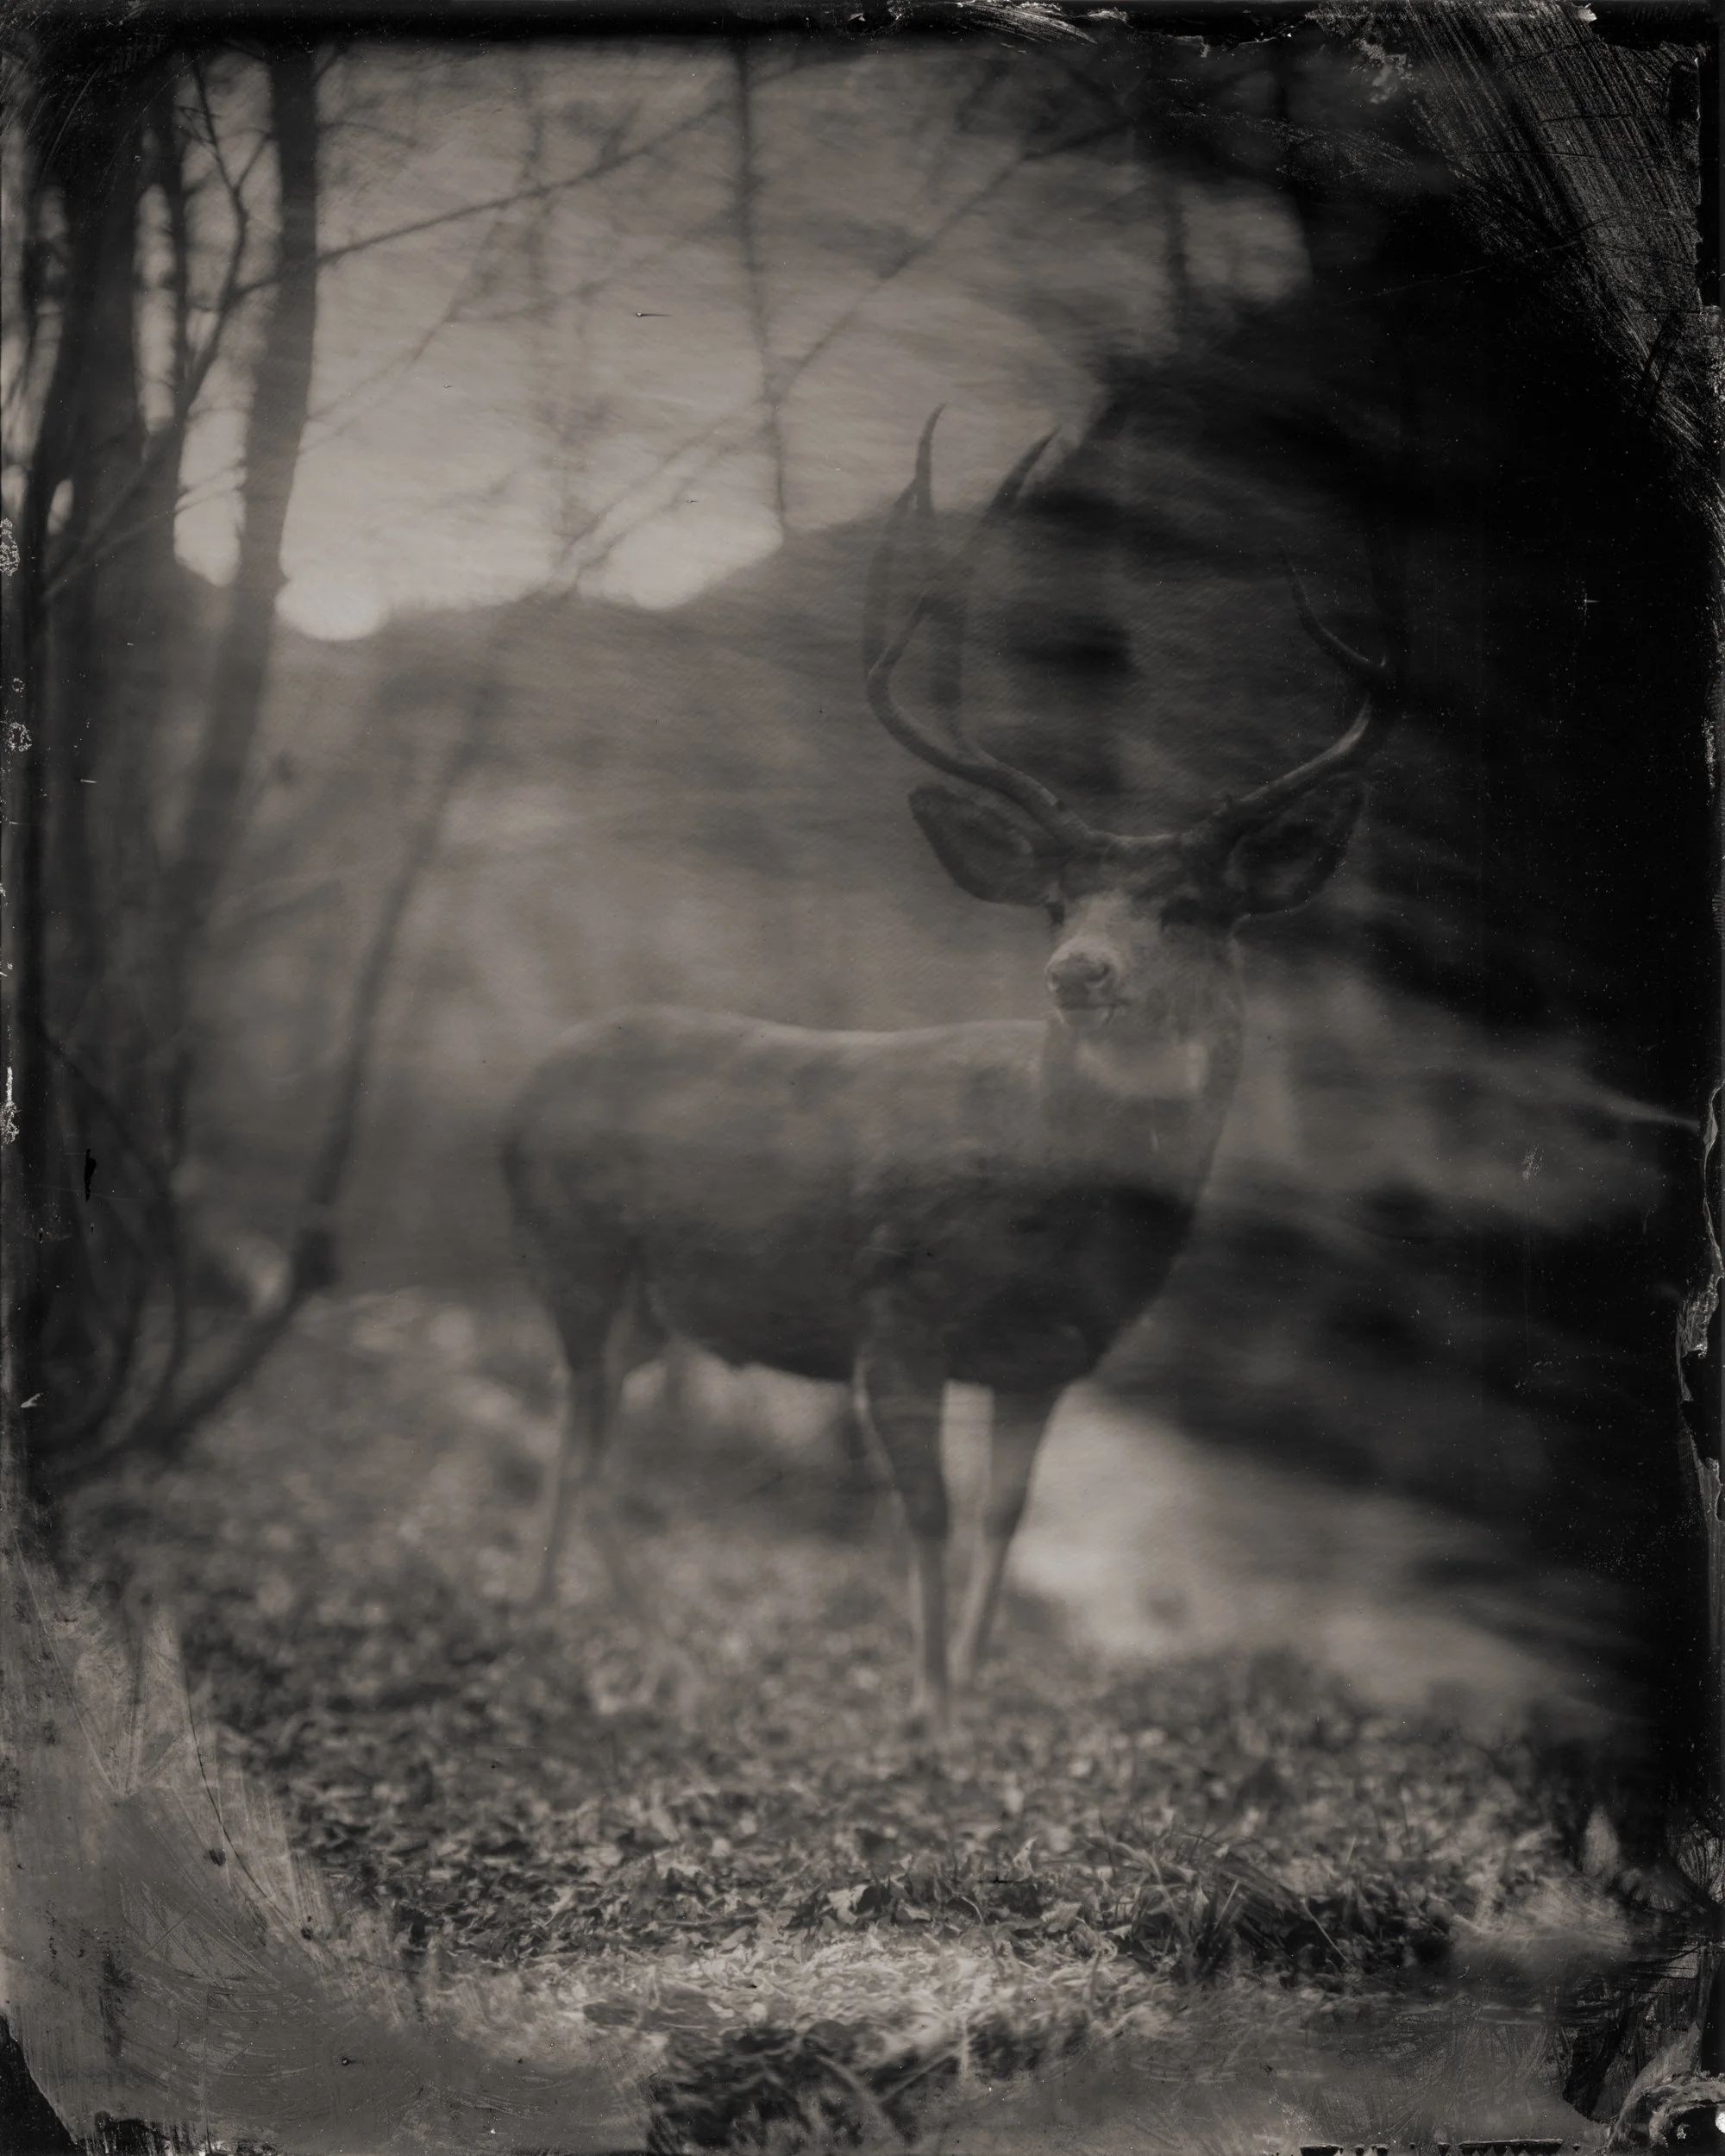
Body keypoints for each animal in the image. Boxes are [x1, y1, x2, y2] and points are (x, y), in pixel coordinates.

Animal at [501, 414, 1395, 1737]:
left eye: (1190, 909)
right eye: (1059, 901)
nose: (1078, 970)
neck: (1049, 1204)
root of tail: (519, 1088)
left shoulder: (1052, 1357)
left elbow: (1003, 1518)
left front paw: (969, 1690)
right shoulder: (894, 1311)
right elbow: (919, 1510)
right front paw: (925, 1709)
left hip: (649, 1304)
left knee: (580, 1439)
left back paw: (564, 1611)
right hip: (577, 1255)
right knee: (591, 1445)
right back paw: (639, 1645)